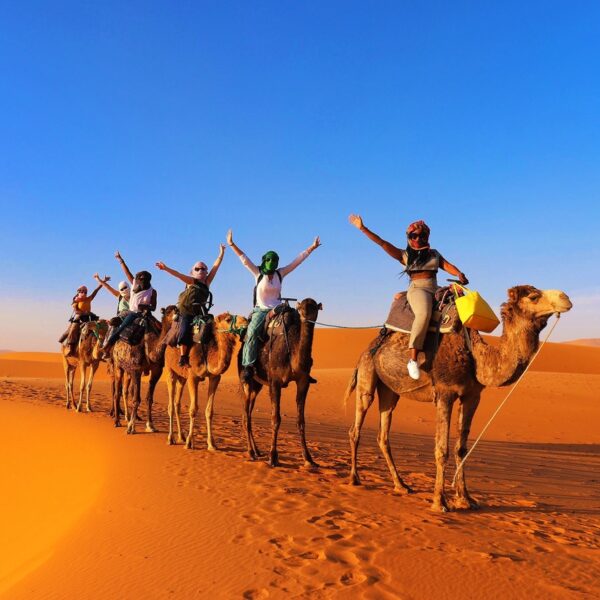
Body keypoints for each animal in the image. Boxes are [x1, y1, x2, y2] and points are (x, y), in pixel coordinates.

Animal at [158, 310, 250, 450]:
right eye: (228, 319)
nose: (246, 321)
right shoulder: (192, 377)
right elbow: (193, 409)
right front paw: (189, 442)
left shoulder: (215, 377)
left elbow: (209, 411)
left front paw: (211, 444)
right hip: (170, 371)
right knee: (170, 405)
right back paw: (171, 438)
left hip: (182, 378)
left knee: (177, 404)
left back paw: (181, 436)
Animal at [240, 300, 324, 468]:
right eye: (301, 307)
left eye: (314, 307)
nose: (306, 315)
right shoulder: (275, 382)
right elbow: (275, 419)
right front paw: (273, 457)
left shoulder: (303, 381)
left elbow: (301, 420)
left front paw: (308, 458)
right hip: (246, 379)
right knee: (246, 415)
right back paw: (251, 452)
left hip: (257, 385)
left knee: (249, 413)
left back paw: (257, 451)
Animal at [346, 286, 572, 510]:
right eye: (534, 297)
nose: (566, 298)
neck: (475, 357)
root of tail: (369, 347)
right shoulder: (445, 393)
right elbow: (442, 449)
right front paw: (439, 501)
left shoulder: (472, 396)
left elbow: (461, 448)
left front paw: (466, 498)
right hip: (367, 374)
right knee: (357, 425)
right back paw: (354, 478)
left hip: (390, 390)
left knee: (383, 434)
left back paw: (401, 485)